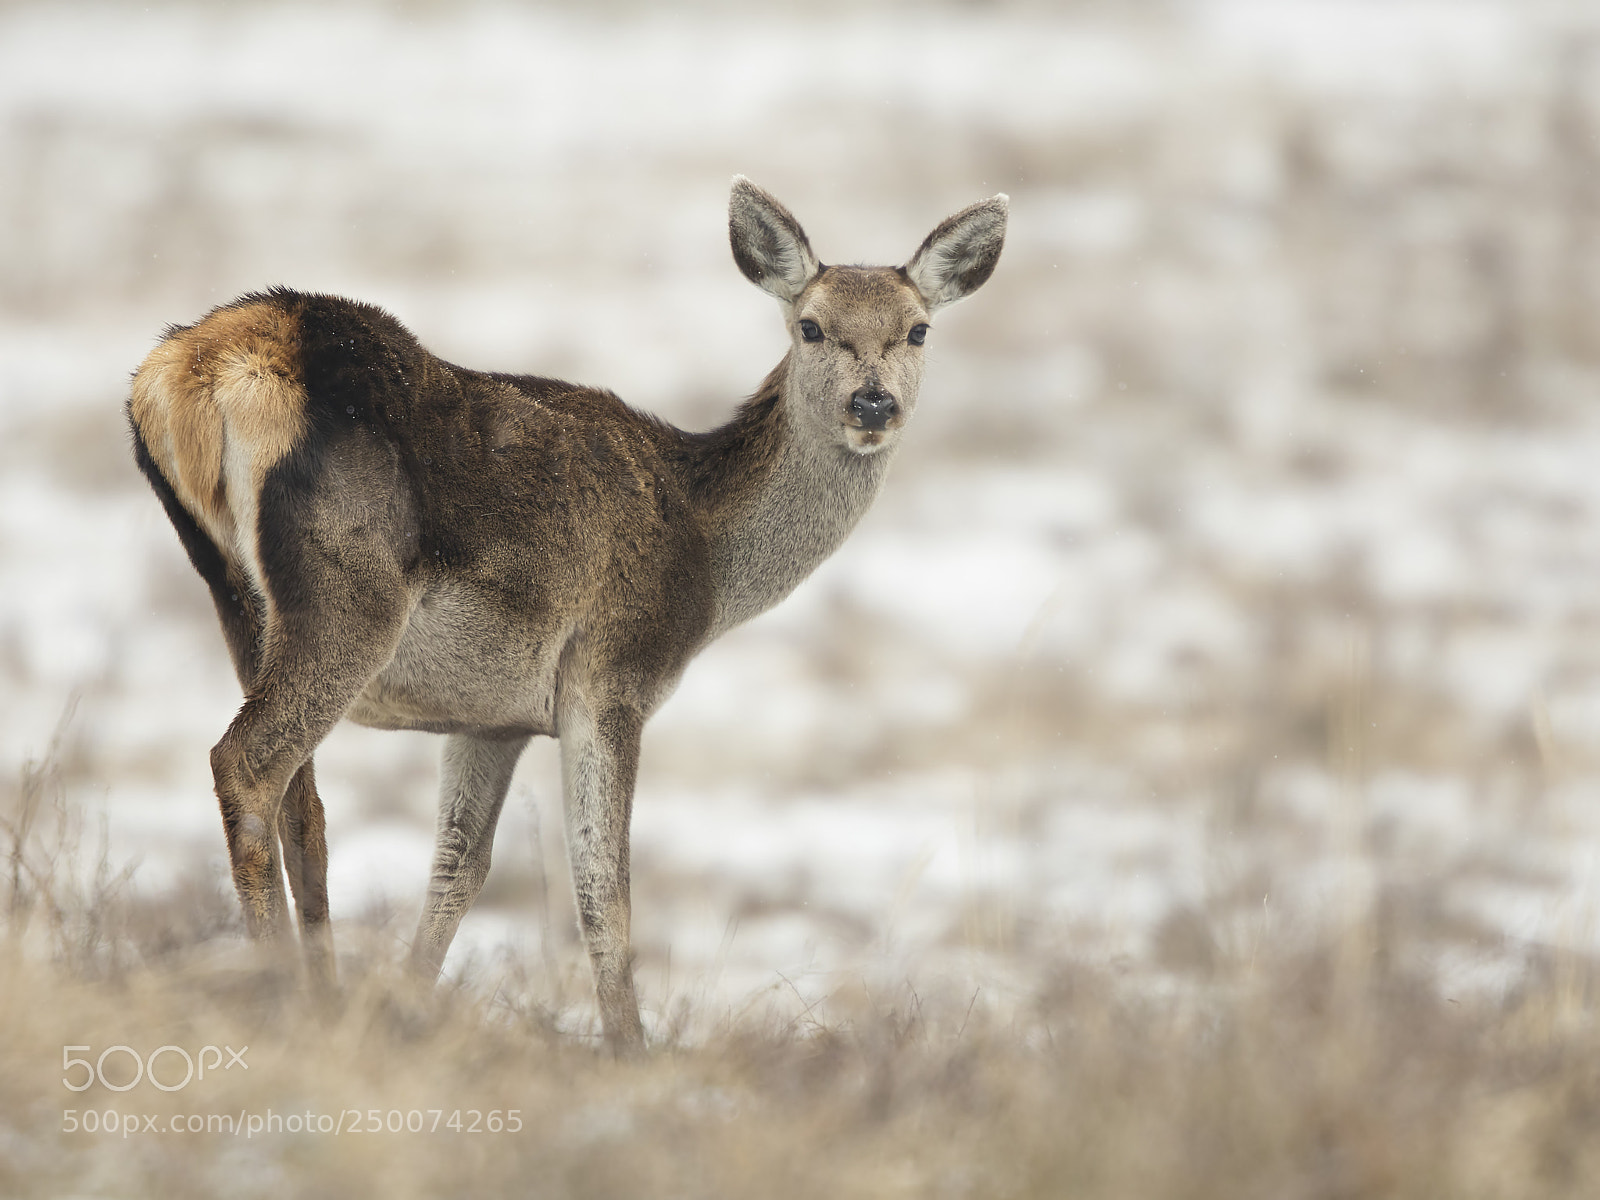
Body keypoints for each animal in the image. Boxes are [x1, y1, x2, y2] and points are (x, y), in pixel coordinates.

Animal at [126, 178, 1007, 1053]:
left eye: (918, 328)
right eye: (811, 325)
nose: (872, 404)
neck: (707, 560)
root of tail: (186, 372)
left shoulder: (493, 717)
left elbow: (458, 865)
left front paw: (403, 1010)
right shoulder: (611, 673)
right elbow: (602, 882)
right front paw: (630, 1050)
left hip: (239, 601)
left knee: (303, 805)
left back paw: (317, 990)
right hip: (349, 595)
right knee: (248, 762)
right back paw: (278, 992)